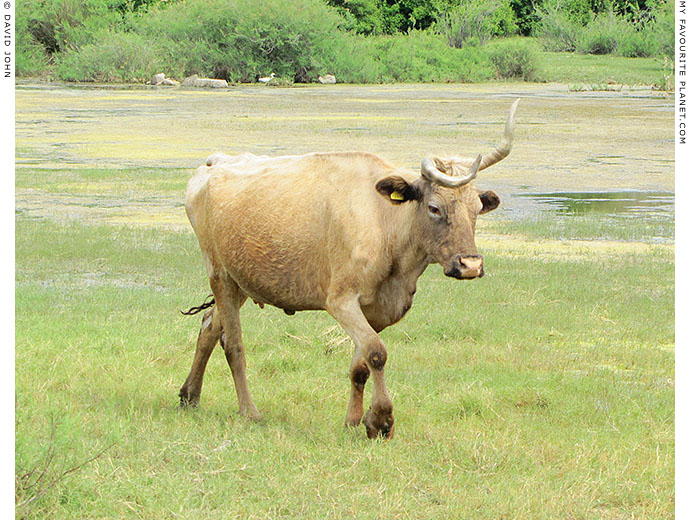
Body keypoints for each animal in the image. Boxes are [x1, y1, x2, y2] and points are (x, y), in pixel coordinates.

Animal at [177, 98, 516, 438]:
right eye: (434, 208)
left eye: (476, 209)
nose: (470, 265)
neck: (385, 224)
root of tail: (213, 163)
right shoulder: (341, 300)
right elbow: (377, 352)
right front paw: (381, 419)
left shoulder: (375, 310)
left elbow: (361, 365)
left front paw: (355, 420)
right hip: (219, 274)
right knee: (233, 344)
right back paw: (249, 410)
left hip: (241, 281)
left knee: (209, 326)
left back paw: (190, 395)